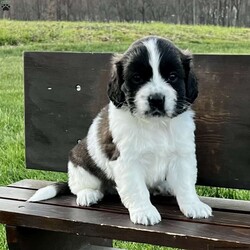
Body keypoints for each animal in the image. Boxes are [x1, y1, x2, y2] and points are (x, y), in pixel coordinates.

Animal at [29, 36, 213, 226]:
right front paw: (144, 211)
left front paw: (193, 205)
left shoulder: (182, 154)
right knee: (78, 186)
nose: (156, 99)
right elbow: (137, 189)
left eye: (172, 76)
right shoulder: (126, 160)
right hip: (78, 165)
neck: (155, 124)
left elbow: (185, 184)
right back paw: (88, 194)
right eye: (137, 78)